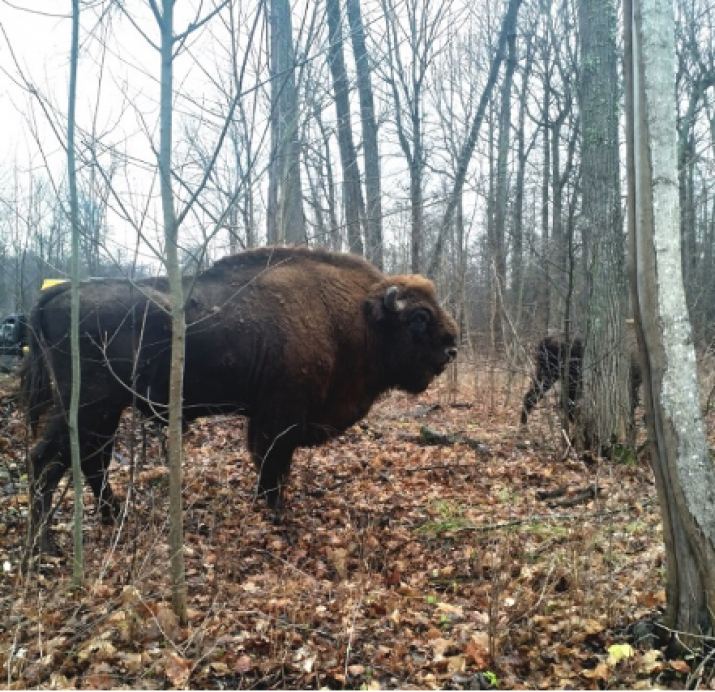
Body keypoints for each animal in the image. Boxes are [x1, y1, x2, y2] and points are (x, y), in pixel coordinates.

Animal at [23, 246, 458, 556]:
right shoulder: (278, 418)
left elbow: (276, 466)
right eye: (419, 317)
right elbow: (270, 464)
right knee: (48, 460)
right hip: (87, 406)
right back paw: (47, 549)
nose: (452, 347)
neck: (355, 316)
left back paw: (112, 519)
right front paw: (274, 514)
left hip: (103, 410)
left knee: (90, 460)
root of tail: (58, 293)